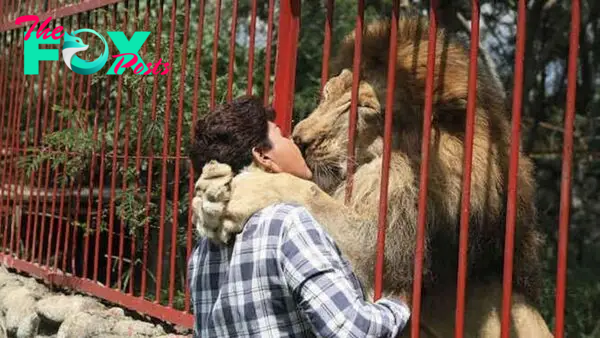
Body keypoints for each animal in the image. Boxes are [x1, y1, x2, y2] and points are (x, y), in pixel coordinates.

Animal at [193, 15, 552, 336]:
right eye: (328, 94)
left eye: (364, 108)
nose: (299, 139)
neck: (383, 171)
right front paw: (208, 194)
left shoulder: (389, 258)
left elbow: (311, 195)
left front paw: (245, 188)